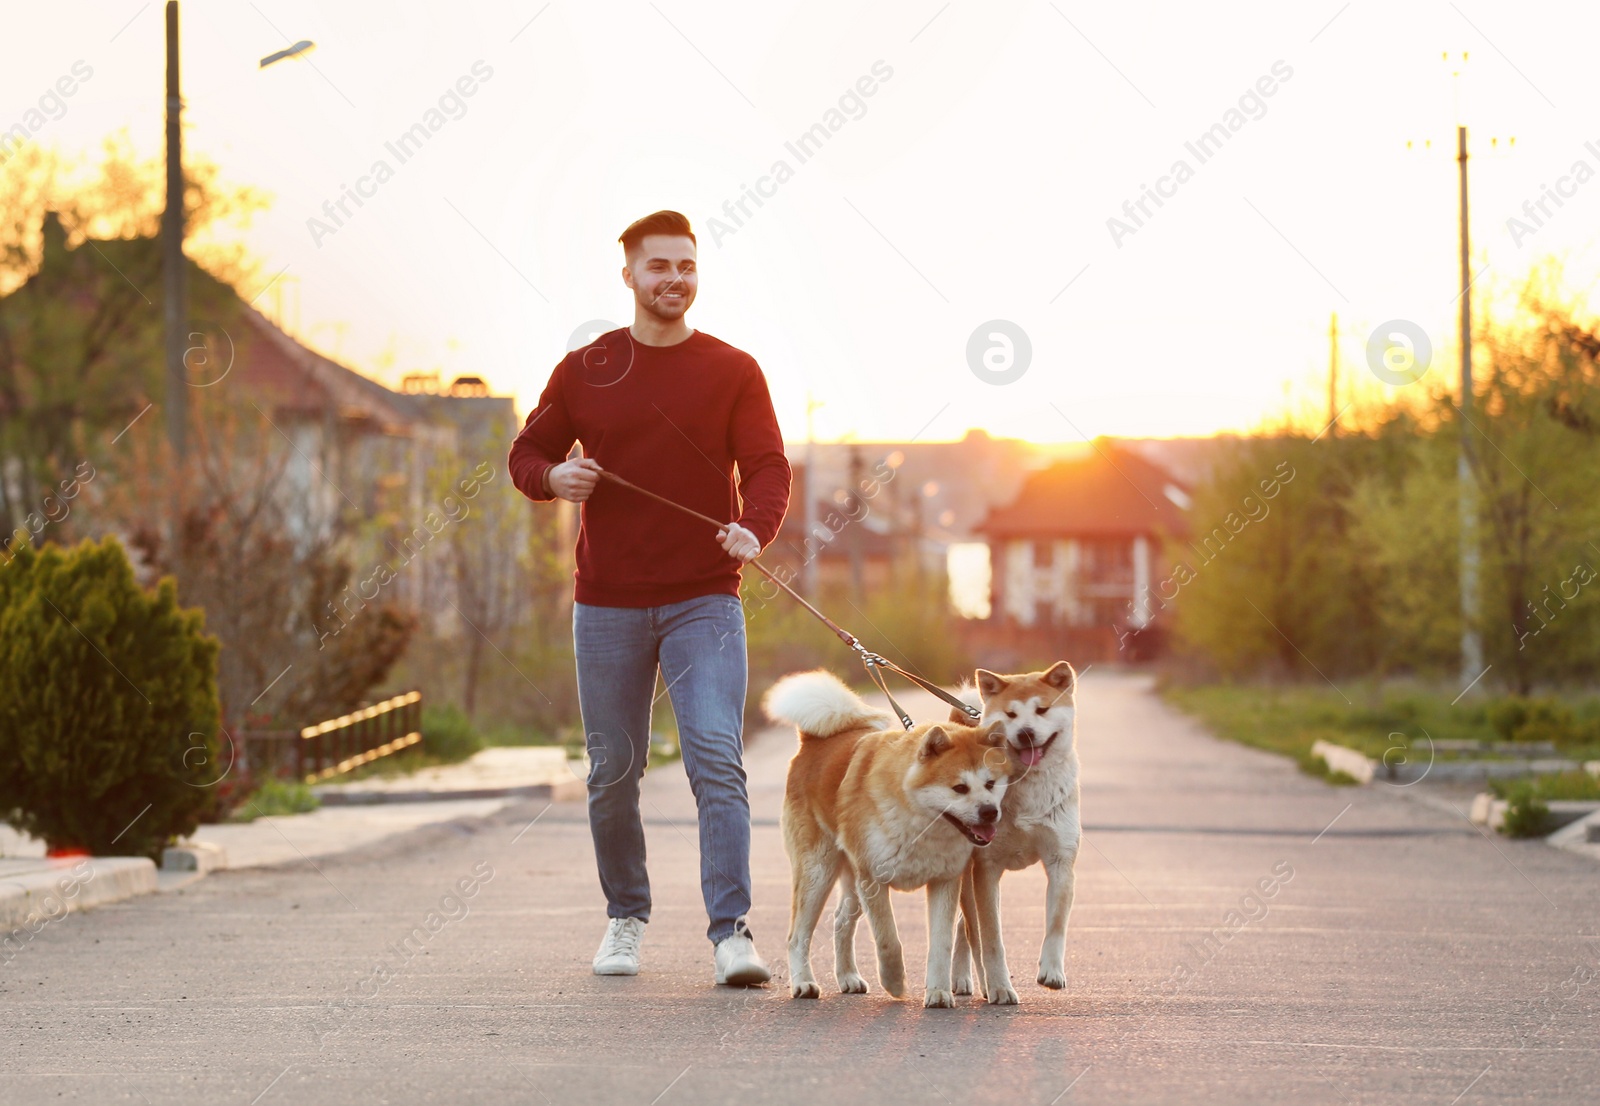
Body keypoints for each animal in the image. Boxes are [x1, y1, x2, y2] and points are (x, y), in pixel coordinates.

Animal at [764, 669, 1011, 1005]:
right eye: (959, 788)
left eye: (990, 784)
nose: (989, 812)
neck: (921, 825)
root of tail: (812, 742)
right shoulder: (873, 880)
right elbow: (887, 940)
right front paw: (895, 983)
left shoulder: (945, 881)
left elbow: (941, 944)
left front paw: (938, 992)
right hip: (819, 872)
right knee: (797, 936)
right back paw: (803, 983)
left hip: (852, 882)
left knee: (841, 922)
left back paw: (848, 977)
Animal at [947, 662, 1088, 1005]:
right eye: (1010, 714)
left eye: (1042, 709)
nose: (1025, 732)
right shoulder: (985, 869)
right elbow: (990, 938)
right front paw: (999, 986)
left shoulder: (1061, 862)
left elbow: (1056, 924)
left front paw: (1052, 972)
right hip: (969, 877)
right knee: (969, 929)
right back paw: (976, 982)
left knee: (963, 928)